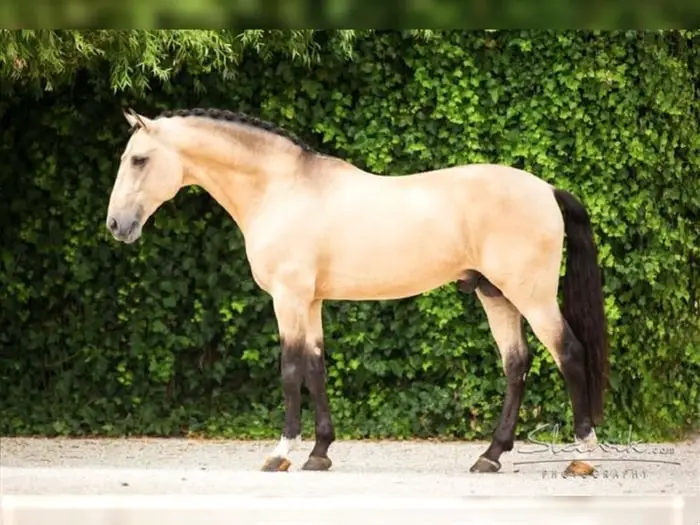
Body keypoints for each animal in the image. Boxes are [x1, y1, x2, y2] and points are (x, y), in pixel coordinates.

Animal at [104, 107, 608, 474]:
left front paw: (282, 453)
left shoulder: (288, 298)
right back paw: (489, 456)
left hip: (532, 297)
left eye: (139, 159)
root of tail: (547, 189)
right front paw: (319, 453)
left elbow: (290, 369)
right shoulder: (310, 301)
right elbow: (315, 367)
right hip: (496, 295)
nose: (116, 225)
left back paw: (582, 456)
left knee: (569, 354)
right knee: (516, 365)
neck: (282, 190)